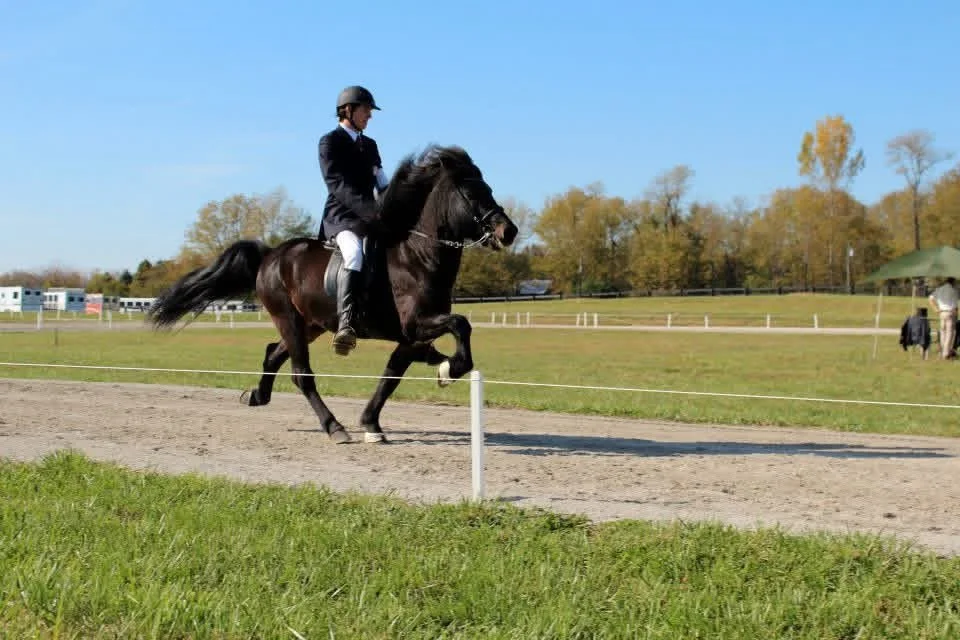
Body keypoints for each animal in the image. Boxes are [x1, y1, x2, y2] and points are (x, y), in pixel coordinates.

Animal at [146, 145, 518, 444]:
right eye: (472, 193)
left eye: (488, 188)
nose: (508, 231)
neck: (418, 256)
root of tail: (269, 256)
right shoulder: (416, 324)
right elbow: (460, 325)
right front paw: (449, 370)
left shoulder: (411, 336)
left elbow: (393, 373)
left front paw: (375, 421)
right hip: (287, 318)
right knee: (301, 374)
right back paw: (333, 427)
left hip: (309, 324)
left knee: (273, 354)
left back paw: (256, 396)